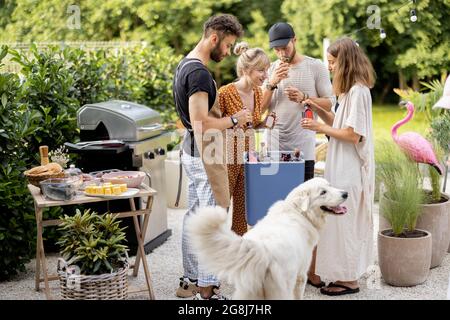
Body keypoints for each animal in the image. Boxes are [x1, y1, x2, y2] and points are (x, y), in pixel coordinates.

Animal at [185, 178, 348, 300]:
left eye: (329, 186)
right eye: (323, 192)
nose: (345, 194)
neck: (299, 212)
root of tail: (261, 248)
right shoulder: (301, 276)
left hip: (249, 291)